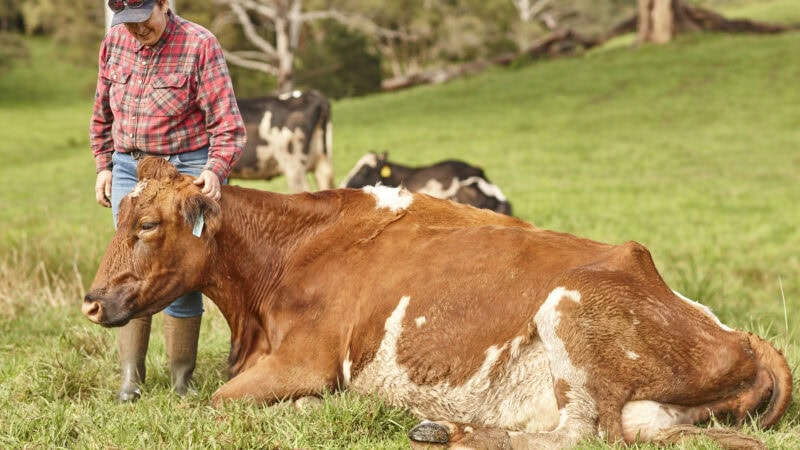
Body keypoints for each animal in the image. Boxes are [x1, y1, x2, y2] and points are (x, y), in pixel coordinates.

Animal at [84, 158, 792, 450]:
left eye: (146, 225)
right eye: (118, 215)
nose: (91, 301)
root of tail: (741, 338)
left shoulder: (305, 362)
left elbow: (218, 402)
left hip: (568, 309)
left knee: (586, 435)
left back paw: (449, 431)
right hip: (656, 411)